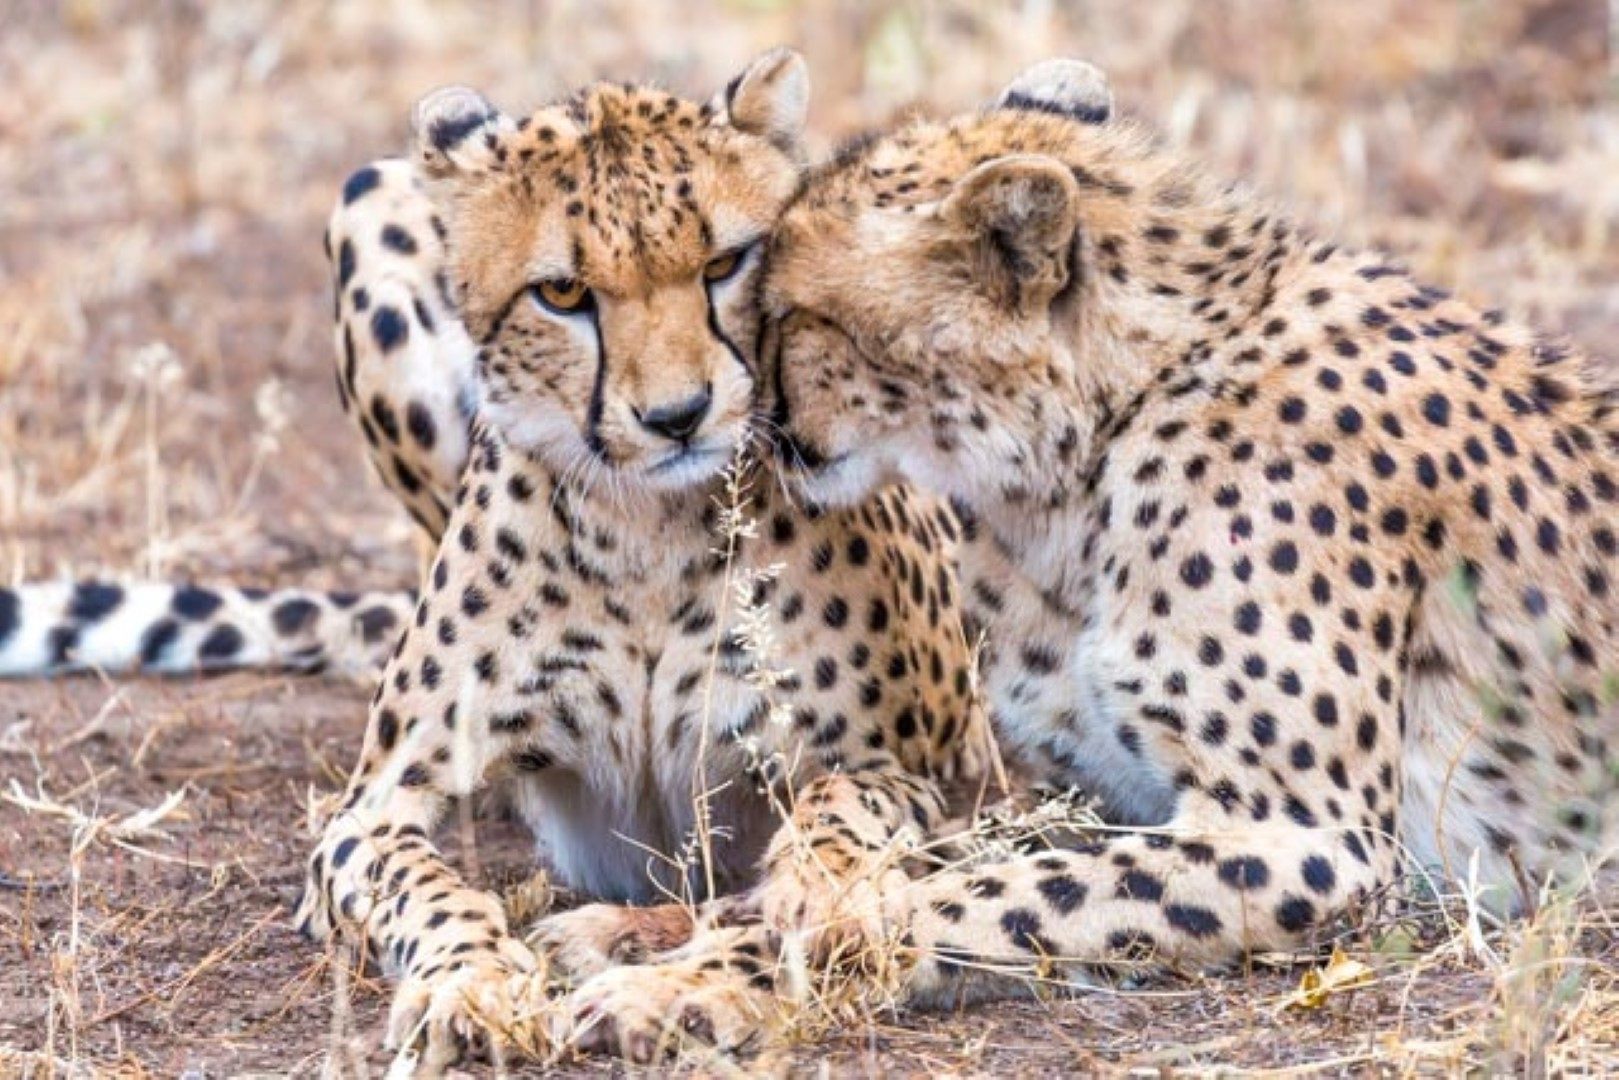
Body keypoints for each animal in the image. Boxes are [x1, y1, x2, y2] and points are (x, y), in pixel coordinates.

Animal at [297, 48, 990, 1062]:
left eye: (724, 263)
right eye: (562, 294)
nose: (677, 416)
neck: (646, 529)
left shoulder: (922, 774)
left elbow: (831, 819)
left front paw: (806, 900)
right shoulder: (373, 808)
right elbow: (426, 889)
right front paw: (471, 985)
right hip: (369, 193)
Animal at [741, 57, 1612, 1023]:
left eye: (789, 315)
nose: (747, 418)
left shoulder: (1314, 839)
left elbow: (1001, 893)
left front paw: (799, 945)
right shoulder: (1068, 784)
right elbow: (905, 818)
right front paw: (778, 899)